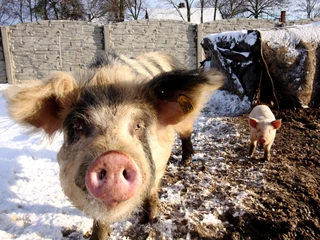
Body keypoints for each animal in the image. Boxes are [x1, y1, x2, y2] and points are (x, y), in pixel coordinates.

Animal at [5, 51, 225, 239]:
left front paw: (149, 221)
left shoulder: (159, 161)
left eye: (139, 125)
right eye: (78, 126)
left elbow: (151, 193)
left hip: (185, 122)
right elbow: (100, 218)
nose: (112, 159)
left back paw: (186, 162)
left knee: (187, 135)